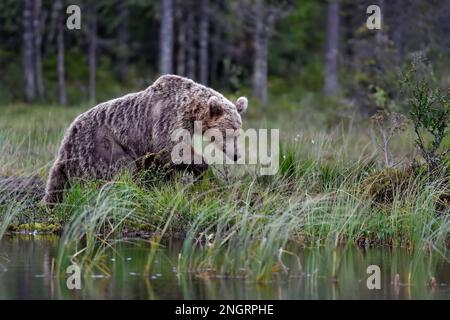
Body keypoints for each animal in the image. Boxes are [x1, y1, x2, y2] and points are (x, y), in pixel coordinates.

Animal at [43, 74, 248, 206]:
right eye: (227, 132)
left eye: (238, 132)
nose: (237, 155)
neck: (191, 111)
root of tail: (67, 142)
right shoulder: (166, 121)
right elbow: (173, 151)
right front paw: (202, 169)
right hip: (100, 145)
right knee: (123, 169)